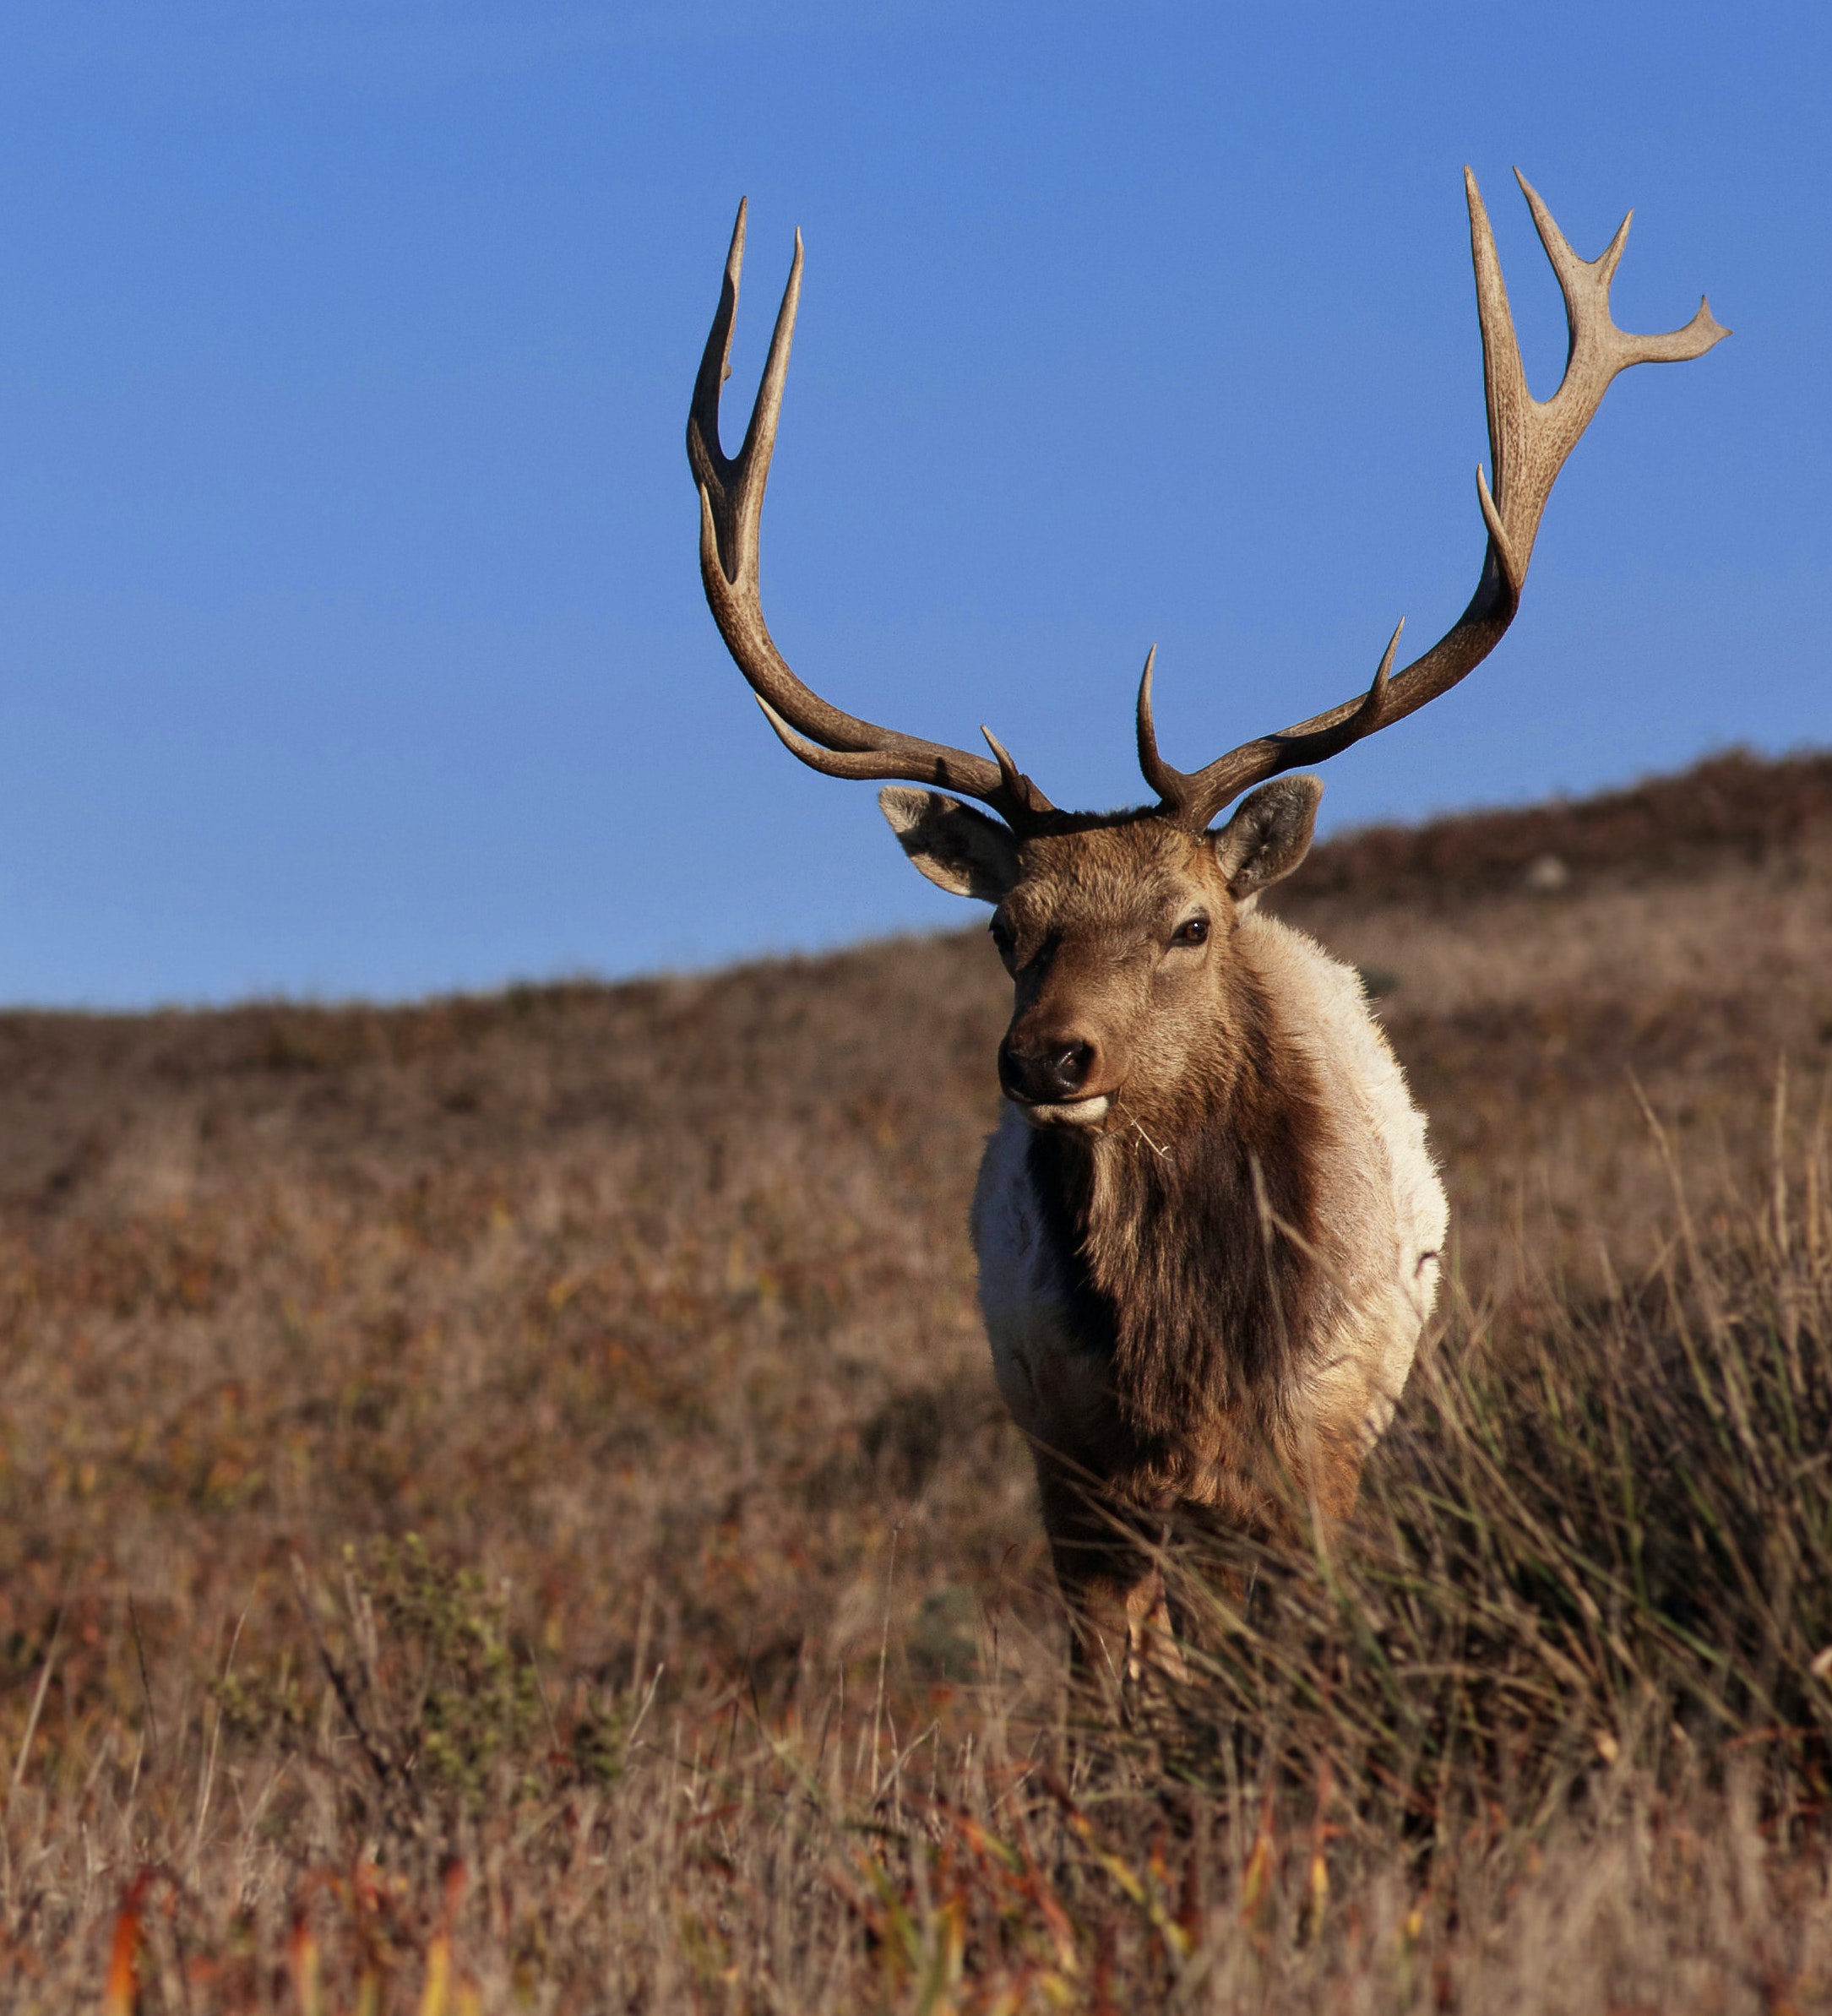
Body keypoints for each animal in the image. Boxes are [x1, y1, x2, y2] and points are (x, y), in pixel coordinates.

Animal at [685, 169, 1733, 1701]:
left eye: (1187, 922)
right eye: (1006, 926)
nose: (1046, 1060)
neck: (1187, 1362)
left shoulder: (1314, 1453)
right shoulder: (1073, 1471)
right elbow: (1108, 1696)